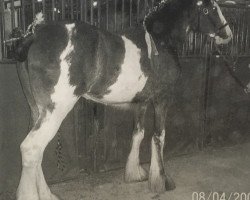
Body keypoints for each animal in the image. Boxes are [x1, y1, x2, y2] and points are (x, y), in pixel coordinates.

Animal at [14, 0, 232, 199]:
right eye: (212, 8)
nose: (227, 35)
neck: (160, 40)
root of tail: (35, 34)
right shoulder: (162, 99)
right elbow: (159, 137)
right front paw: (162, 181)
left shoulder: (142, 102)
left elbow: (138, 134)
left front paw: (135, 173)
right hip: (55, 110)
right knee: (31, 148)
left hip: (37, 110)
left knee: (37, 152)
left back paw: (47, 194)